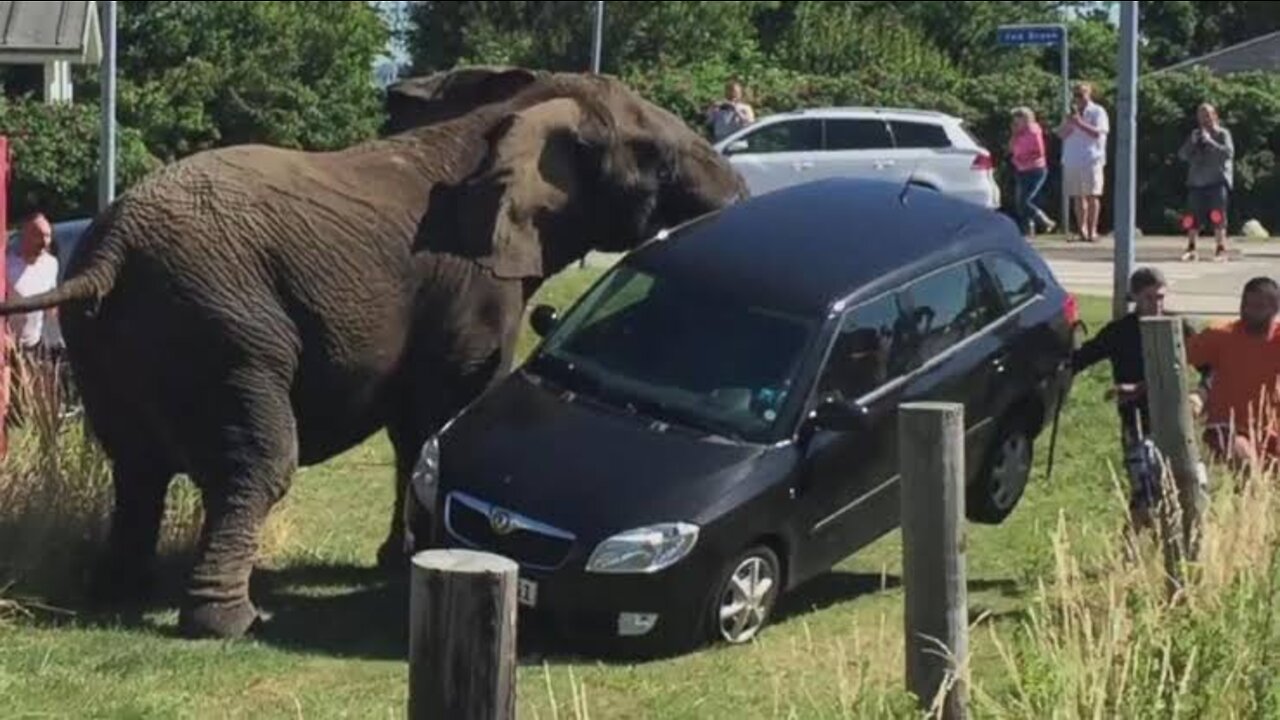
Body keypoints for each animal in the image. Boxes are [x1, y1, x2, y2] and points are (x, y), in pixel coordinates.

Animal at [0, 67, 747, 635]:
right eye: (658, 157)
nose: (742, 198)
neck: (515, 112)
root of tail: (113, 251)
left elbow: (413, 426)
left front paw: (399, 561)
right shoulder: (470, 282)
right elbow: (445, 409)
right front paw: (414, 559)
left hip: (107, 340)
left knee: (136, 468)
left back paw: (118, 593)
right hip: (224, 326)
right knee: (258, 465)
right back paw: (230, 623)